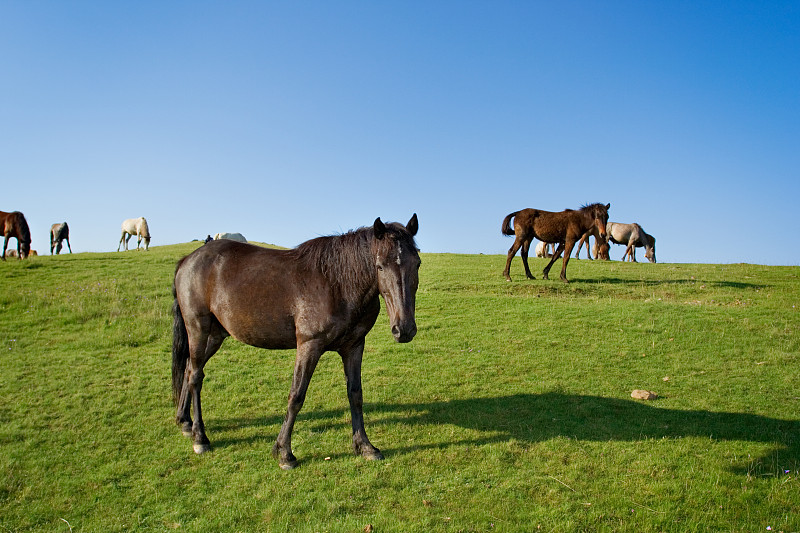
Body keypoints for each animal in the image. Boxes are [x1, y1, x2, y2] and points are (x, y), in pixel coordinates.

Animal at [173, 214, 422, 468]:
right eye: (380, 266)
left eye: (417, 263)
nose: (404, 329)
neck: (337, 283)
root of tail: (187, 261)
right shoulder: (309, 345)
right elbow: (296, 396)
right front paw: (284, 452)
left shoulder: (354, 346)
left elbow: (355, 395)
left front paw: (365, 446)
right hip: (198, 329)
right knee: (195, 377)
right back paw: (200, 437)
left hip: (214, 336)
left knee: (189, 370)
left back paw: (185, 422)